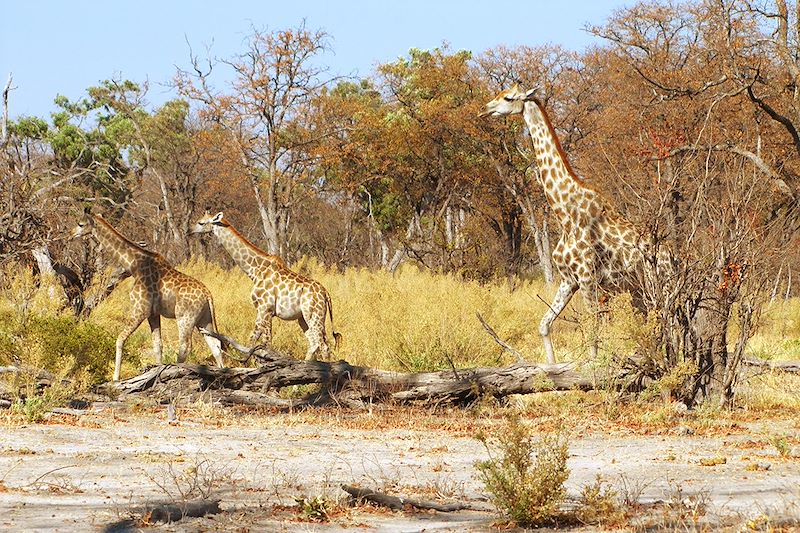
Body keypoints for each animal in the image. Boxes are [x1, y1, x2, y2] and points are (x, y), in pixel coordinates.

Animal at [72, 210, 225, 380]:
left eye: (80, 224)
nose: (71, 234)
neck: (134, 265)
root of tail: (208, 294)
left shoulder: (141, 309)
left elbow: (120, 339)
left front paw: (115, 378)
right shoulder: (153, 313)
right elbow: (157, 345)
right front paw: (156, 371)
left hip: (185, 317)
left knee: (185, 346)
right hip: (204, 319)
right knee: (215, 346)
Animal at [194, 212, 344, 362]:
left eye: (201, 223)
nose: (191, 230)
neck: (255, 270)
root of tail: (326, 294)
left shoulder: (266, 309)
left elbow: (266, 344)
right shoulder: (261, 311)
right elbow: (252, 340)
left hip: (314, 315)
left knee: (323, 345)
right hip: (303, 318)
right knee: (313, 343)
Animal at [482, 85, 668, 364]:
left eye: (508, 97)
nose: (485, 109)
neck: (564, 213)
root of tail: (675, 257)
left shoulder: (587, 277)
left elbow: (592, 332)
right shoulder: (568, 279)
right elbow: (544, 325)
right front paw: (551, 368)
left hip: (658, 285)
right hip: (637, 291)